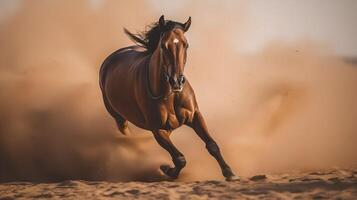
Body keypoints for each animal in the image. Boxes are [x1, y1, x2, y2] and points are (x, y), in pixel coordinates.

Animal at [98, 15, 236, 181]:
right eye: (163, 46)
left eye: (186, 45)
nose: (176, 81)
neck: (170, 94)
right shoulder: (158, 129)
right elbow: (179, 159)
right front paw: (167, 169)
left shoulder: (195, 116)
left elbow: (212, 145)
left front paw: (229, 173)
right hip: (118, 117)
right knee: (125, 130)